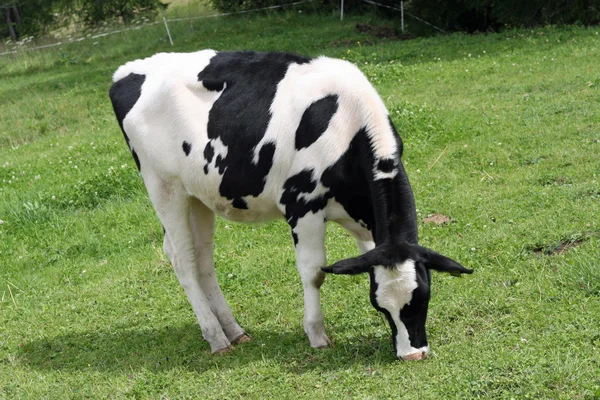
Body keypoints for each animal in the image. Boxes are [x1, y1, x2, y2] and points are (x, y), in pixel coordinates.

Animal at [109, 50, 474, 362]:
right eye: (382, 306)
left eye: (423, 297)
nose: (413, 354)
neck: (348, 123)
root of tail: (127, 71)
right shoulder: (302, 206)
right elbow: (314, 273)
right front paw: (317, 335)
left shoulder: (364, 221)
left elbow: (368, 256)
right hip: (164, 187)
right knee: (183, 260)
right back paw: (215, 337)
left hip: (198, 195)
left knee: (201, 259)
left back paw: (234, 330)